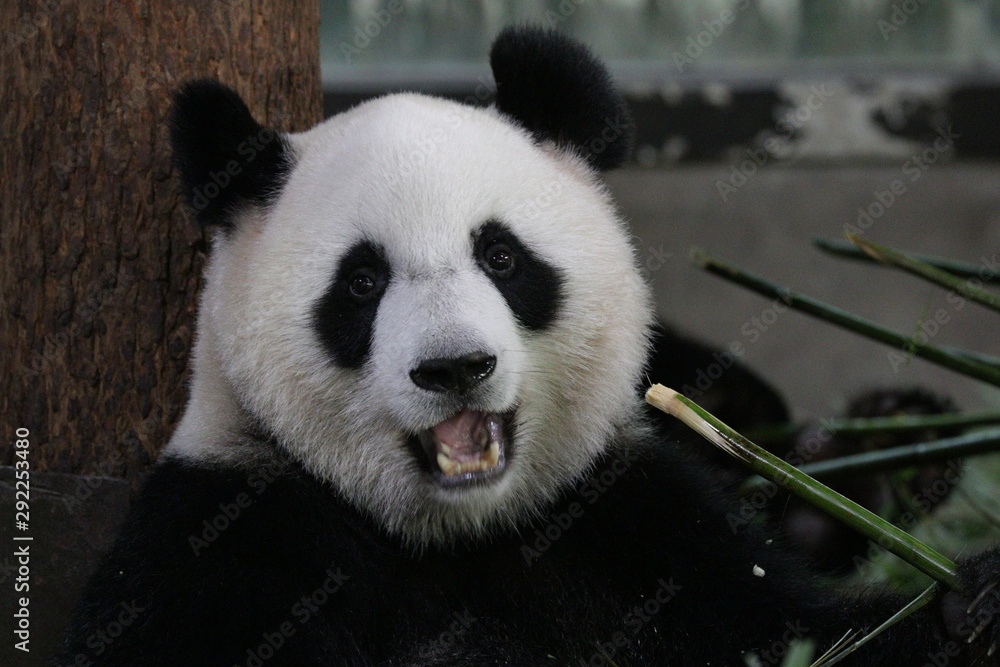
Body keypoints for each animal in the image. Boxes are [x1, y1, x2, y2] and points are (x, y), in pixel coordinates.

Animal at [59, 27, 1000, 666]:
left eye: (501, 256)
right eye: (361, 282)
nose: (455, 367)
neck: (460, 535)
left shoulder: (636, 526)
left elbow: (809, 633)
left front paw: (974, 608)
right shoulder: (231, 537)